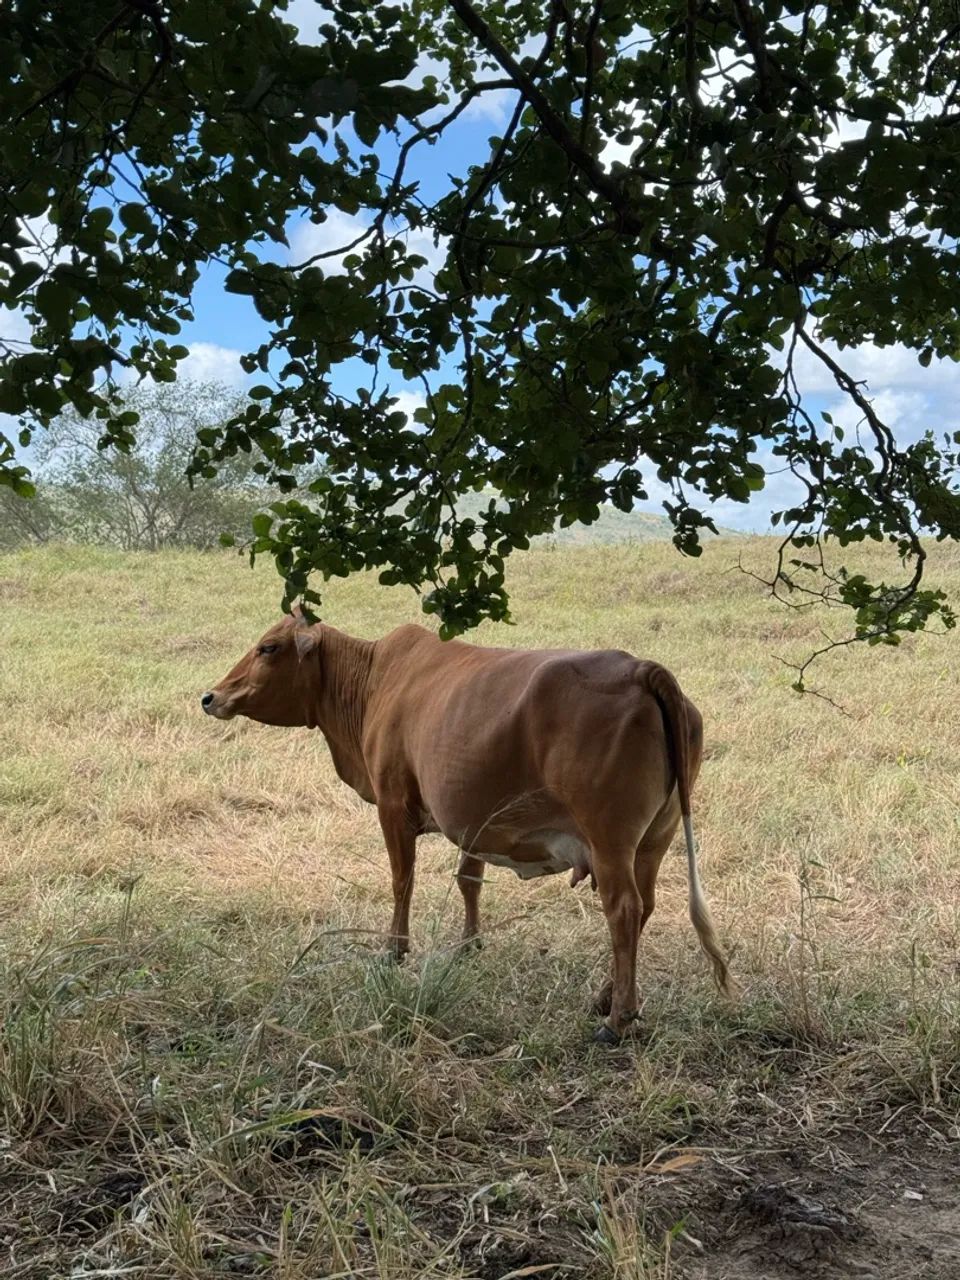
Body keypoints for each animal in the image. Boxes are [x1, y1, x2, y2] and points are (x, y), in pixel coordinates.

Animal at [201, 615, 730, 1042]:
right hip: (654, 839)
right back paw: (606, 996)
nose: (211, 696)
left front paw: (393, 951)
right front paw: (468, 945)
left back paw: (617, 1019)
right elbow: (468, 881)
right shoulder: (476, 819)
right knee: (644, 908)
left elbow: (402, 881)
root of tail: (641, 669)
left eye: (269, 647)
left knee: (623, 910)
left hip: (609, 840)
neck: (372, 681)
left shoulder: (393, 804)